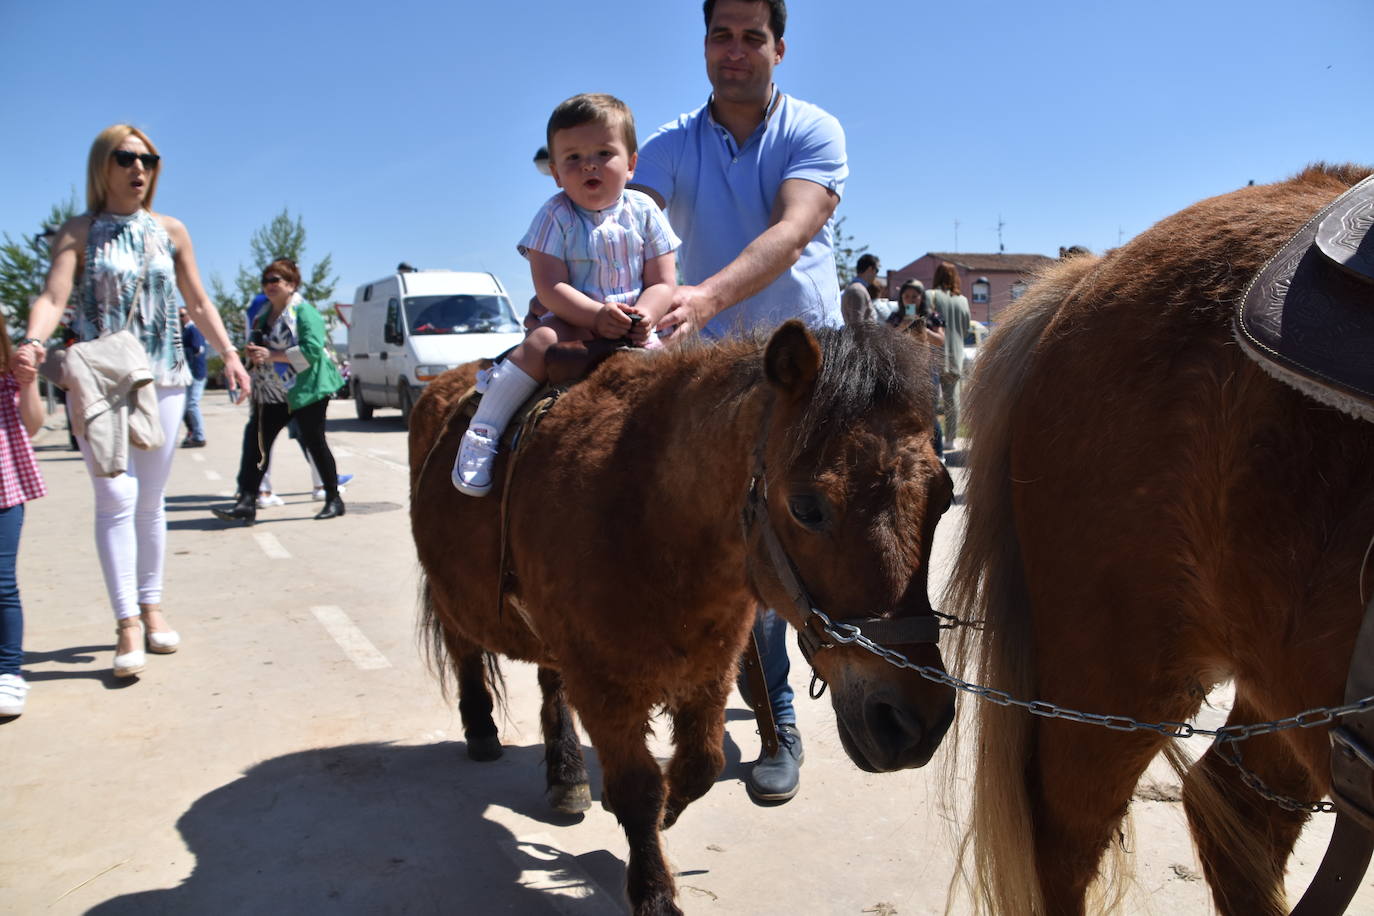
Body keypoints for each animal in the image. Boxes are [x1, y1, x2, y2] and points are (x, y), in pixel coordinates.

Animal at [412, 322, 961, 916]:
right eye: (808, 508)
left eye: (945, 496)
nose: (914, 724)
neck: (645, 508)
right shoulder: (604, 687)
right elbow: (638, 790)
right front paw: (654, 891)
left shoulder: (709, 671)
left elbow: (702, 765)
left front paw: (670, 809)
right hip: (454, 598)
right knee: (465, 653)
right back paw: (481, 730)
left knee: (549, 681)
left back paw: (567, 775)